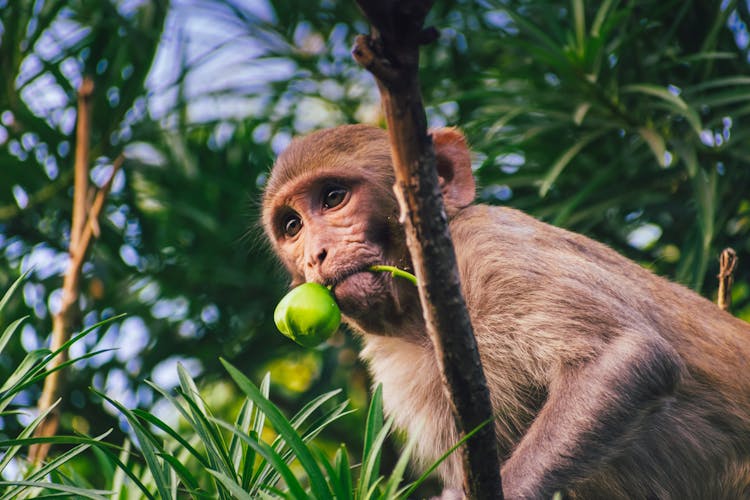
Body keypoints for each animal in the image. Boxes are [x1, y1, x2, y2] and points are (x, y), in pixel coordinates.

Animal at [260, 123, 750, 498]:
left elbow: (626, 357)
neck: (422, 319)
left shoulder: (491, 249)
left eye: (333, 197)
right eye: (292, 226)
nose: (316, 255)